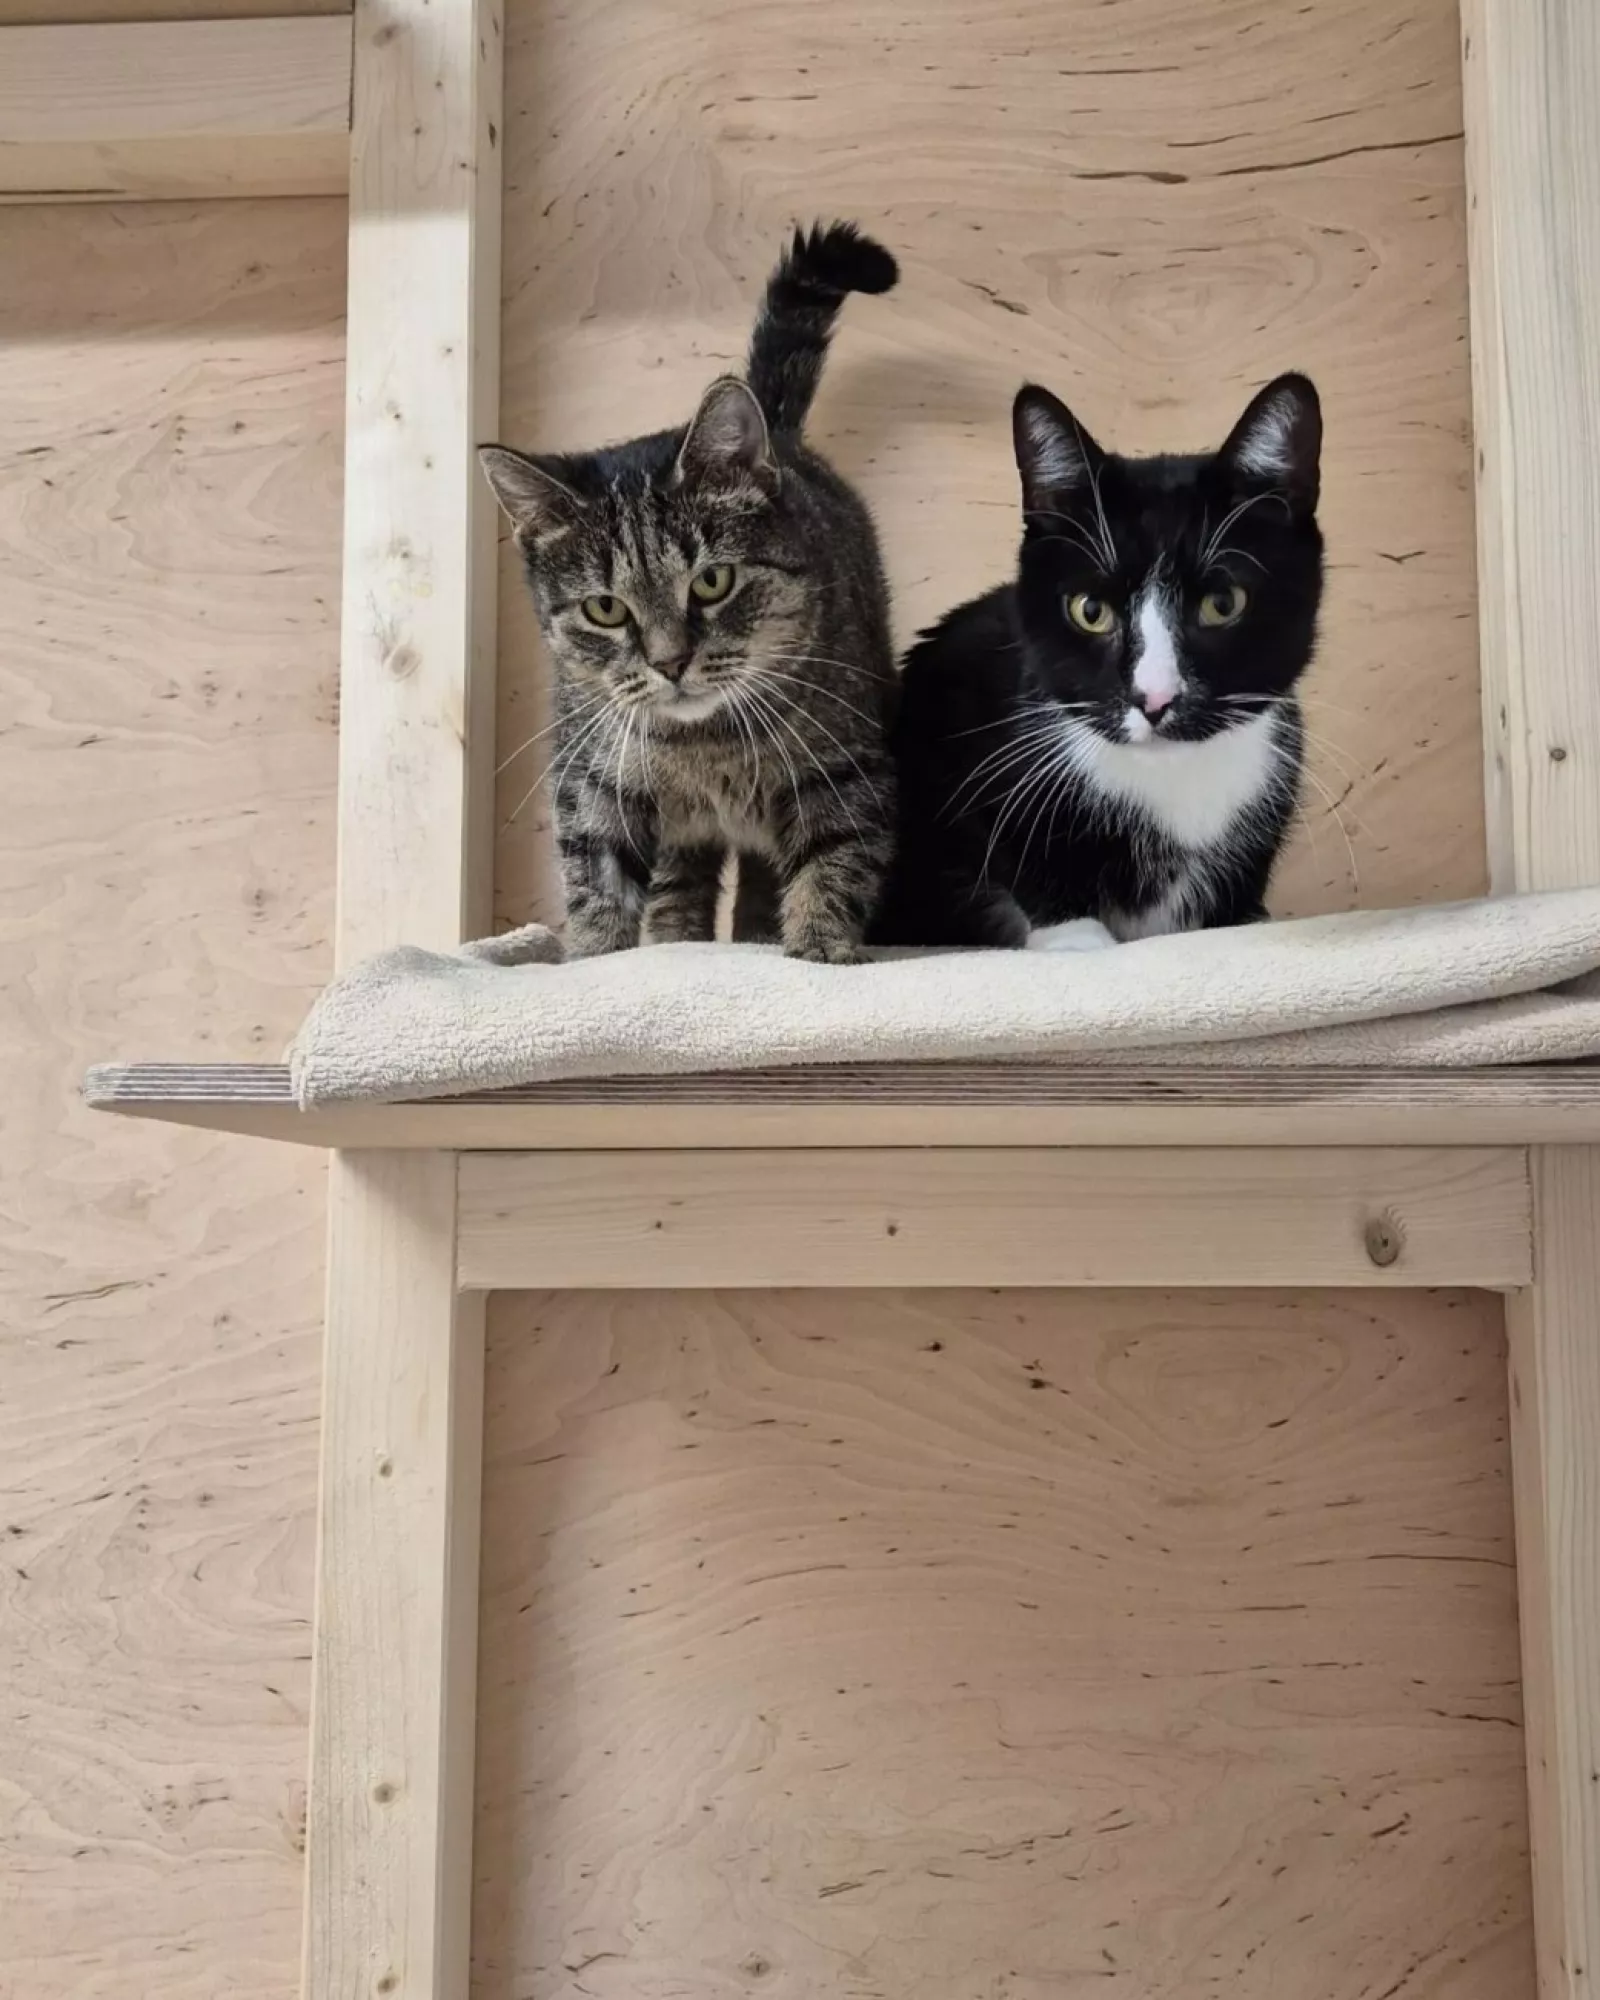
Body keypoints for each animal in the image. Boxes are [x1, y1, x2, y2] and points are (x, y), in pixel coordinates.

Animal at [480, 222, 899, 963]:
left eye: (712, 581)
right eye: (605, 608)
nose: (670, 662)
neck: (704, 746)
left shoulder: (843, 770)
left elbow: (833, 862)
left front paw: (819, 948)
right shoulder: (591, 781)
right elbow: (596, 881)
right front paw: (594, 959)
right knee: (682, 880)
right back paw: (678, 942)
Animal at [872, 373, 1324, 950]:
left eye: (1222, 604)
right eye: (1090, 611)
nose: (1155, 699)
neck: (1171, 777)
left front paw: (1242, 921)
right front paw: (1077, 936)